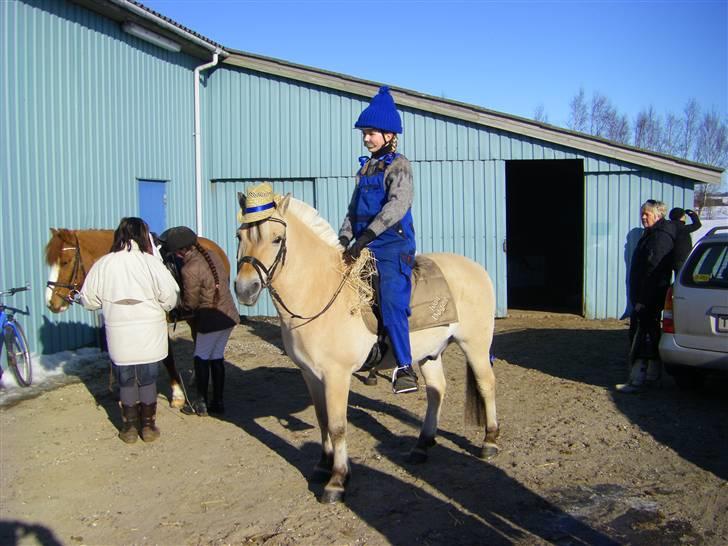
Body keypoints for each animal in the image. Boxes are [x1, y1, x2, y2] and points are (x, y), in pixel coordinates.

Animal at [236, 194, 498, 502]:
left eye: (277, 239)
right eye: (239, 236)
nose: (245, 289)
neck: (319, 292)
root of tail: (477, 268)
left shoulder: (336, 376)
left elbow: (337, 426)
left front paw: (337, 480)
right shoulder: (310, 375)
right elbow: (322, 420)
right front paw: (322, 466)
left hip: (475, 346)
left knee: (486, 385)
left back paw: (490, 441)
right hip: (430, 354)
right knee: (437, 391)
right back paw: (422, 445)